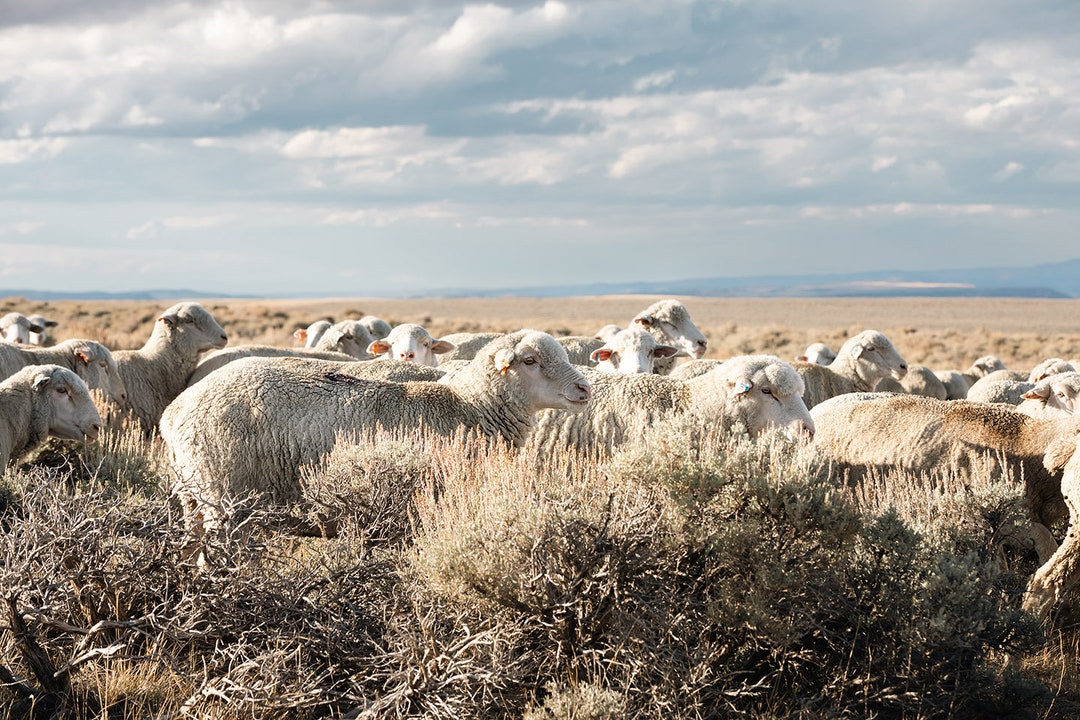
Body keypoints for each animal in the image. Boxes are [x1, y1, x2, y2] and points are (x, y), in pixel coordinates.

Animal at [160, 330, 591, 536]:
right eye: (530, 361)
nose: (584, 389)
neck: (466, 405)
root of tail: (175, 412)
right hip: (223, 493)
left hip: (192, 493)